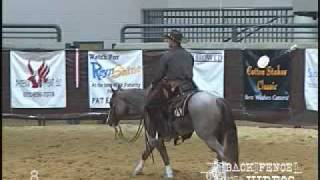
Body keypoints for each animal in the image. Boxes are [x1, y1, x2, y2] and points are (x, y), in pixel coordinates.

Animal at [106, 84, 239, 179]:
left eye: (111, 103)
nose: (108, 121)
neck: (145, 104)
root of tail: (217, 99)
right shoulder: (156, 138)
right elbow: (147, 152)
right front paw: (137, 170)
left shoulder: (154, 138)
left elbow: (162, 155)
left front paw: (169, 174)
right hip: (217, 135)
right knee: (219, 155)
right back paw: (213, 172)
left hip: (208, 137)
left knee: (222, 153)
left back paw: (222, 175)